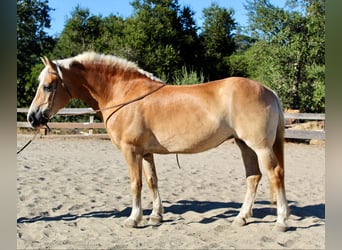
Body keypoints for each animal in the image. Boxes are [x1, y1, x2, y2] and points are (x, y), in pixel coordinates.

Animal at [27, 51, 288, 231]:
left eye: (47, 86)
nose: (32, 117)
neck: (124, 94)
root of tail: (269, 90)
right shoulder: (146, 153)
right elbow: (152, 181)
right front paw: (155, 216)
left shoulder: (131, 151)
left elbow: (136, 184)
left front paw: (134, 219)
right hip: (244, 145)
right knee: (253, 177)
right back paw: (241, 217)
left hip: (260, 147)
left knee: (275, 174)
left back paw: (281, 221)